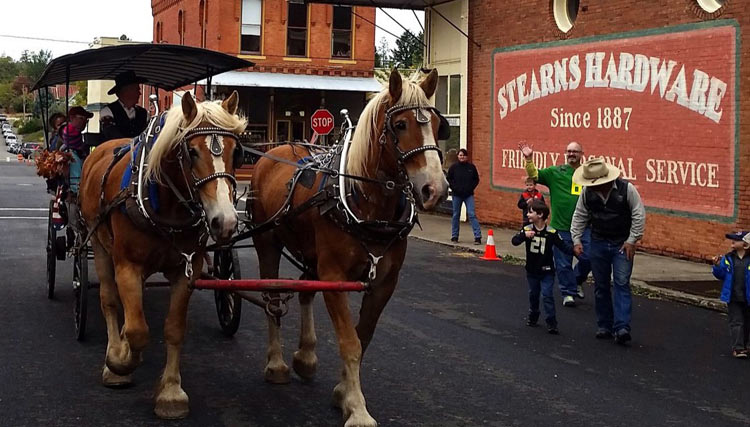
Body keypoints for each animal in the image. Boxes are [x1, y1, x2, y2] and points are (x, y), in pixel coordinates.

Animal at [79, 92, 245, 420]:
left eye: (236, 153)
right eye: (191, 152)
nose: (225, 221)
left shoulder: (186, 269)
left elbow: (174, 329)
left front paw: (170, 392)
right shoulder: (127, 266)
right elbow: (137, 330)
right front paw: (120, 362)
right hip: (100, 245)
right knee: (108, 299)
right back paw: (115, 350)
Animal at [253, 68, 452, 426]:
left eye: (435, 123)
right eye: (400, 125)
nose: (436, 189)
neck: (367, 202)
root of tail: (279, 148)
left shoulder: (384, 282)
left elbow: (363, 337)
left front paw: (343, 394)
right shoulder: (334, 276)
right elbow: (349, 342)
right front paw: (357, 408)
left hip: (310, 254)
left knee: (304, 289)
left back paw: (306, 356)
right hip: (267, 243)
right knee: (272, 298)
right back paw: (276, 364)